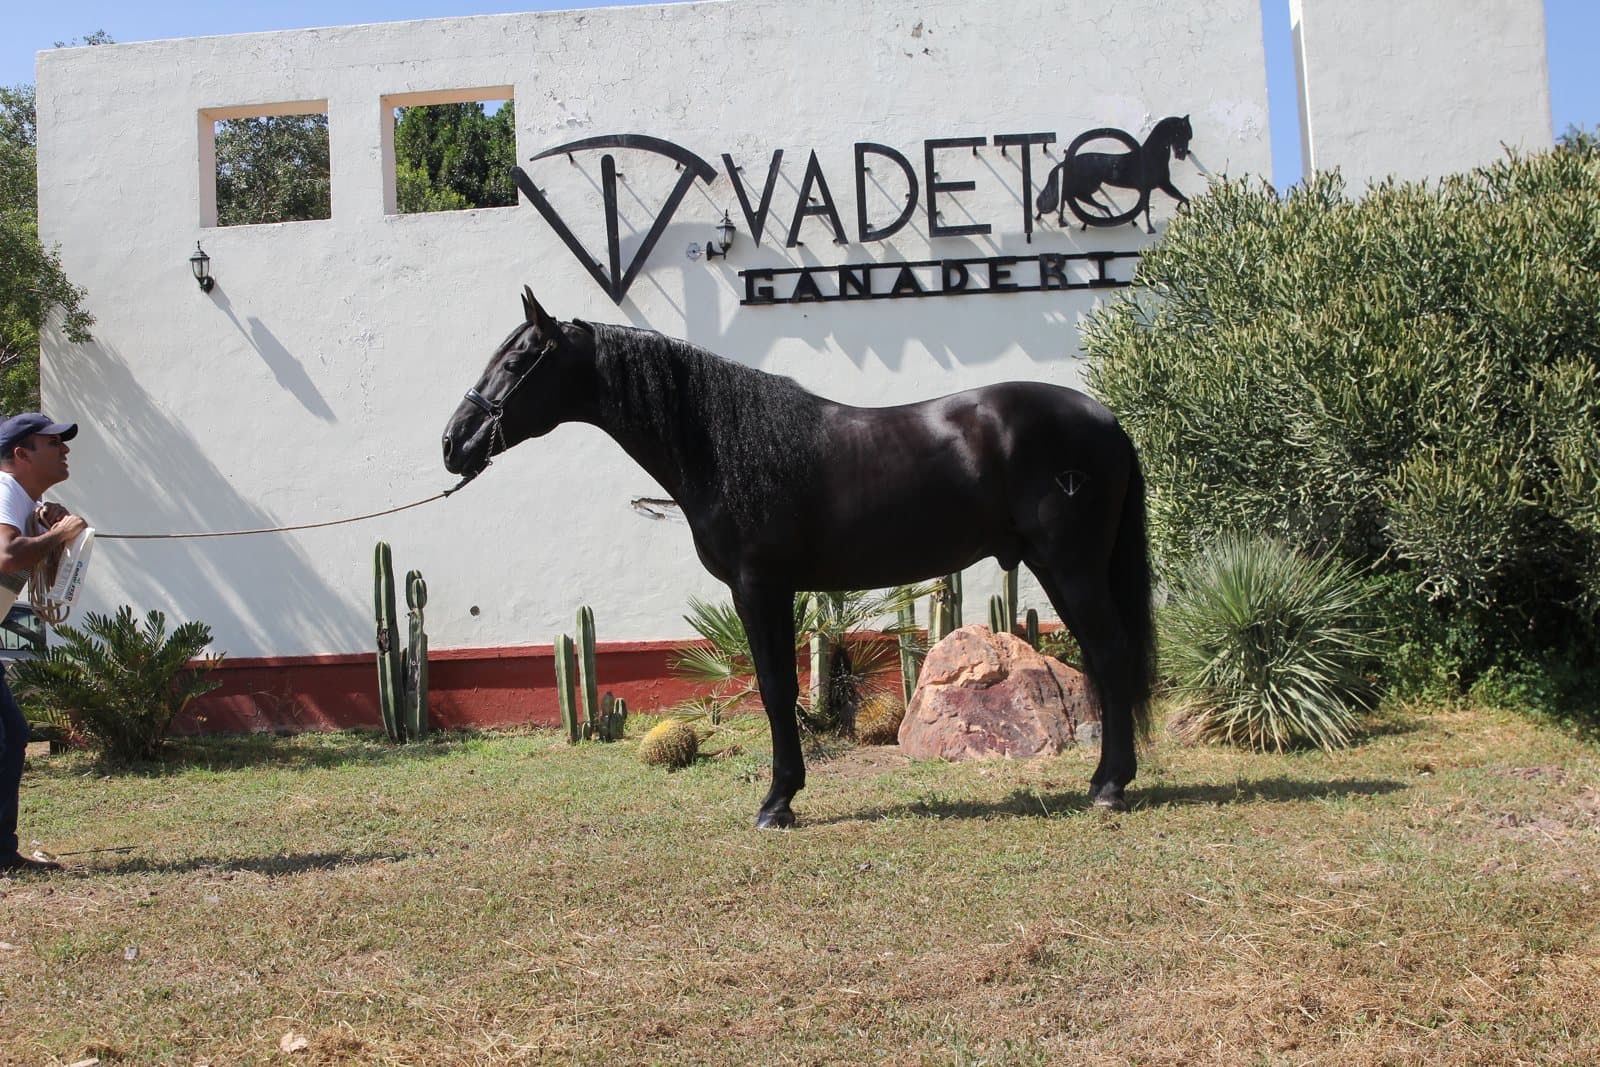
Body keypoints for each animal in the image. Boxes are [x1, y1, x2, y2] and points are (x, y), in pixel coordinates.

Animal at [442, 288, 1156, 828]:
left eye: (520, 359)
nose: (454, 442)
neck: (724, 446)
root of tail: (1108, 421)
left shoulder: (760, 586)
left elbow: (775, 687)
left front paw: (778, 802)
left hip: (1070, 566)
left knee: (1111, 653)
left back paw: (1110, 787)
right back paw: (1103, 780)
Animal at [1036, 115, 1193, 234]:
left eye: (1188, 137)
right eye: (1180, 134)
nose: (1182, 155)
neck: (1152, 155)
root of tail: (1067, 161)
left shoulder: (1161, 184)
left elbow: (1181, 197)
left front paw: (1187, 213)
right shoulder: (1155, 185)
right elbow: (1147, 207)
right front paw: (1151, 228)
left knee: (1076, 196)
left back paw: (1107, 214)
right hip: (1088, 184)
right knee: (1072, 195)